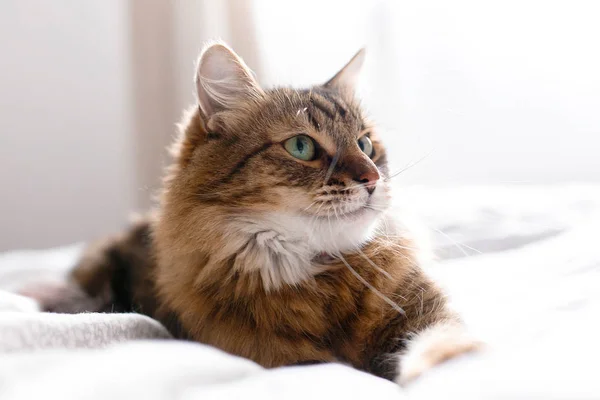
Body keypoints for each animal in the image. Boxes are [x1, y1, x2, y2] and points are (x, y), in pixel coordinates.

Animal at [23, 40, 480, 384]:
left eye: (366, 144)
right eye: (301, 146)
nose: (372, 179)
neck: (322, 275)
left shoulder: (426, 313)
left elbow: (444, 345)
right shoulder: (279, 358)